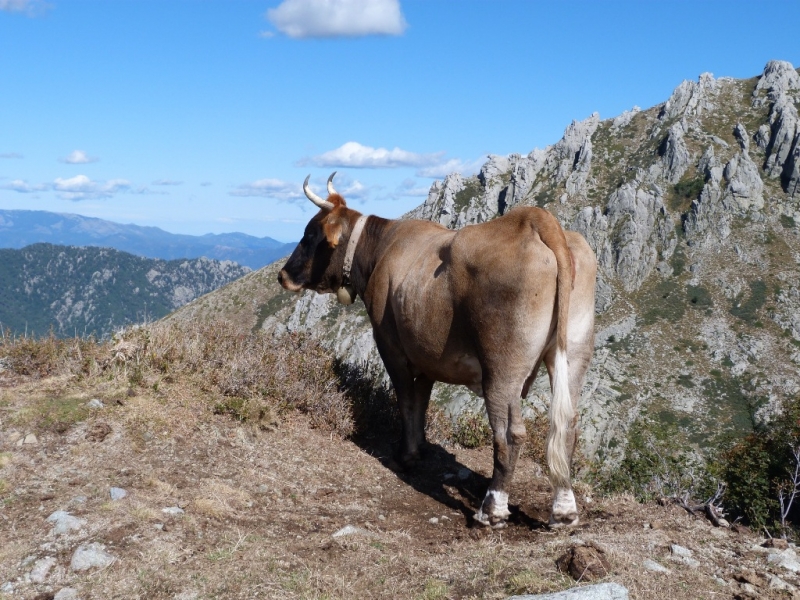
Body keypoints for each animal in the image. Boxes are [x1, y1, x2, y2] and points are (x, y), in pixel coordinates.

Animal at [278, 173, 596, 528]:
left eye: (310, 234)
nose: (283, 274)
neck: (379, 250)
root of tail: (535, 220)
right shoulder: (426, 355)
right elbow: (422, 399)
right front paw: (421, 447)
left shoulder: (390, 345)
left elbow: (405, 398)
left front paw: (406, 455)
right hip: (572, 354)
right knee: (567, 426)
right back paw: (564, 510)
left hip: (502, 367)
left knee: (510, 433)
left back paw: (491, 509)